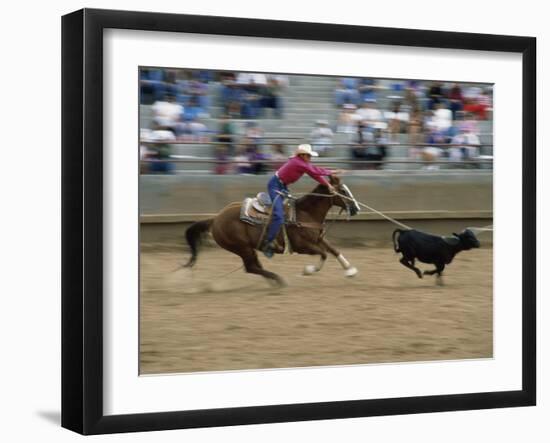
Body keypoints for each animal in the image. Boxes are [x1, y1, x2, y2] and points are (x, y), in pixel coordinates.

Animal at [184, 175, 362, 286]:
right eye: (343, 191)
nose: (356, 208)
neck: (305, 213)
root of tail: (215, 219)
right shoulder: (302, 246)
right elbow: (324, 254)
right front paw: (308, 270)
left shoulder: (318, 238)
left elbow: (333, 250)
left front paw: (350, 270)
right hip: (242, 248)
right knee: (251, 268)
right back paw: (279, 280)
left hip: (248, 249)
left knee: (255, 267)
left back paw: (273, 281)